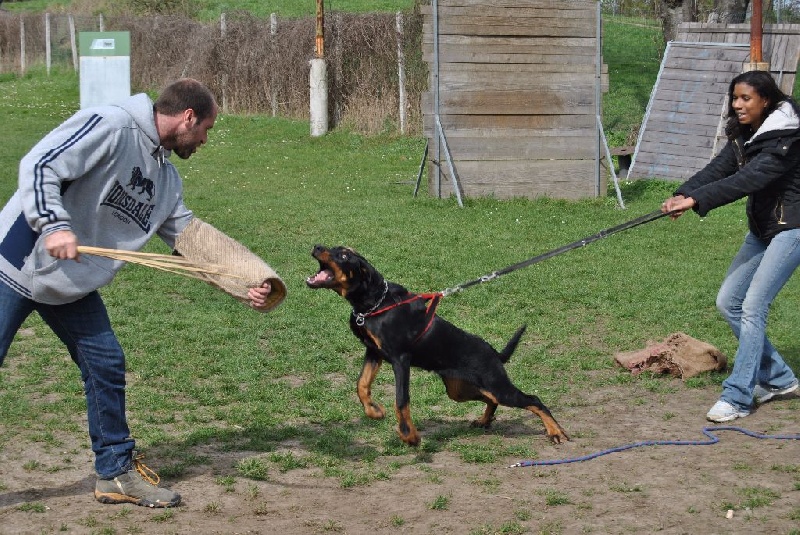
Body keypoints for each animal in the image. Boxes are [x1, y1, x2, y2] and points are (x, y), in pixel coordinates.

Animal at [306, 245, 568, 446]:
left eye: (344, 255)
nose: (317, 246)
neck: (373, 304)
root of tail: (494, 353)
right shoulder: (373, 352)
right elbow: (361, 385)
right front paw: (374, 412)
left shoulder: (401, 359)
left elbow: (401, 400)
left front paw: (410, 436)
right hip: (459, 390)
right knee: (491, 400)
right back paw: (484, 421)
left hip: (496, 385)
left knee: (533, 399)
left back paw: (555, 431)